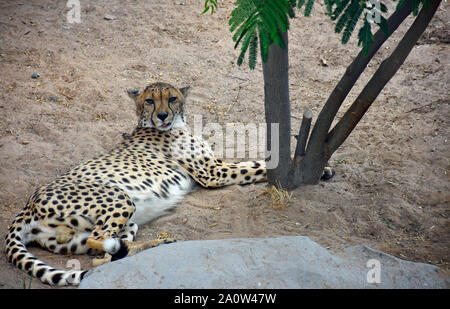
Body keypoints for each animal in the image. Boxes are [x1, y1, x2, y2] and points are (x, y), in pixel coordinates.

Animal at [4, 81, 268, 284]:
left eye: (172, 98)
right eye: (150, 101)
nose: (162, 115)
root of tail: (29, 202)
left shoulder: (214, 167)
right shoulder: (213, 172)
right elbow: (256, 165)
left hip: (111, 227)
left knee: (103, 253)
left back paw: (160, 243)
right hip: (120, 198)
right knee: (99, 249)